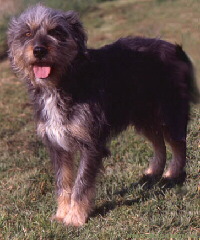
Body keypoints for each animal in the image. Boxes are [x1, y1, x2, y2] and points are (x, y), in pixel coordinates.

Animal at [7, 3, 198, 226]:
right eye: (27, 33)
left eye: (56, 31)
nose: (38, 50)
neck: (64, 81)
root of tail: (175, 48)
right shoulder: (57, 145)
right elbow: (63, 182)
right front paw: (62, 213)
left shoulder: (91, 143)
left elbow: (81, 184)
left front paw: (75, 217)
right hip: (144, 118)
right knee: (159, 143)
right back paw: (153, 172)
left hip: (169, 112)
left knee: (178, 143)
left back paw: (173, 174)